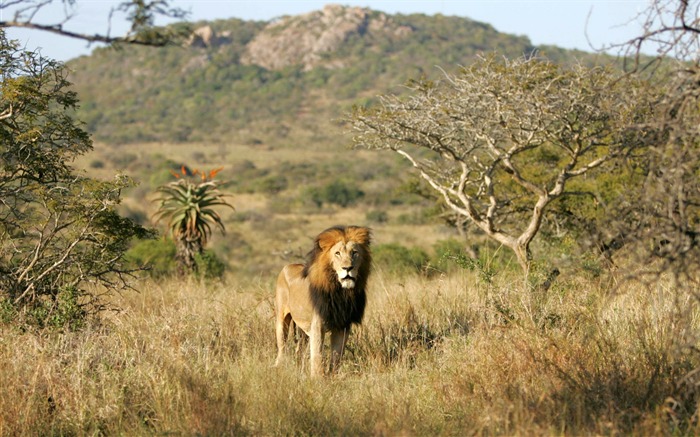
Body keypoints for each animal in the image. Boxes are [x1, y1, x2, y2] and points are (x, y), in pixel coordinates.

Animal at [274, 225, 372, 374]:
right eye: (337, 253)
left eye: (354, 253)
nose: (348, 268)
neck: (341, 293)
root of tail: (288, 266)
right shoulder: (317, 325)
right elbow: (317, 357)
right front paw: (317, 378)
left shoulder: (343, 326)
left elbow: (336, 356)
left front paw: (333, 376)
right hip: (282, 319)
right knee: (282, 349)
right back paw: (279, 368)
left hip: (303, 329)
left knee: (299, 350)